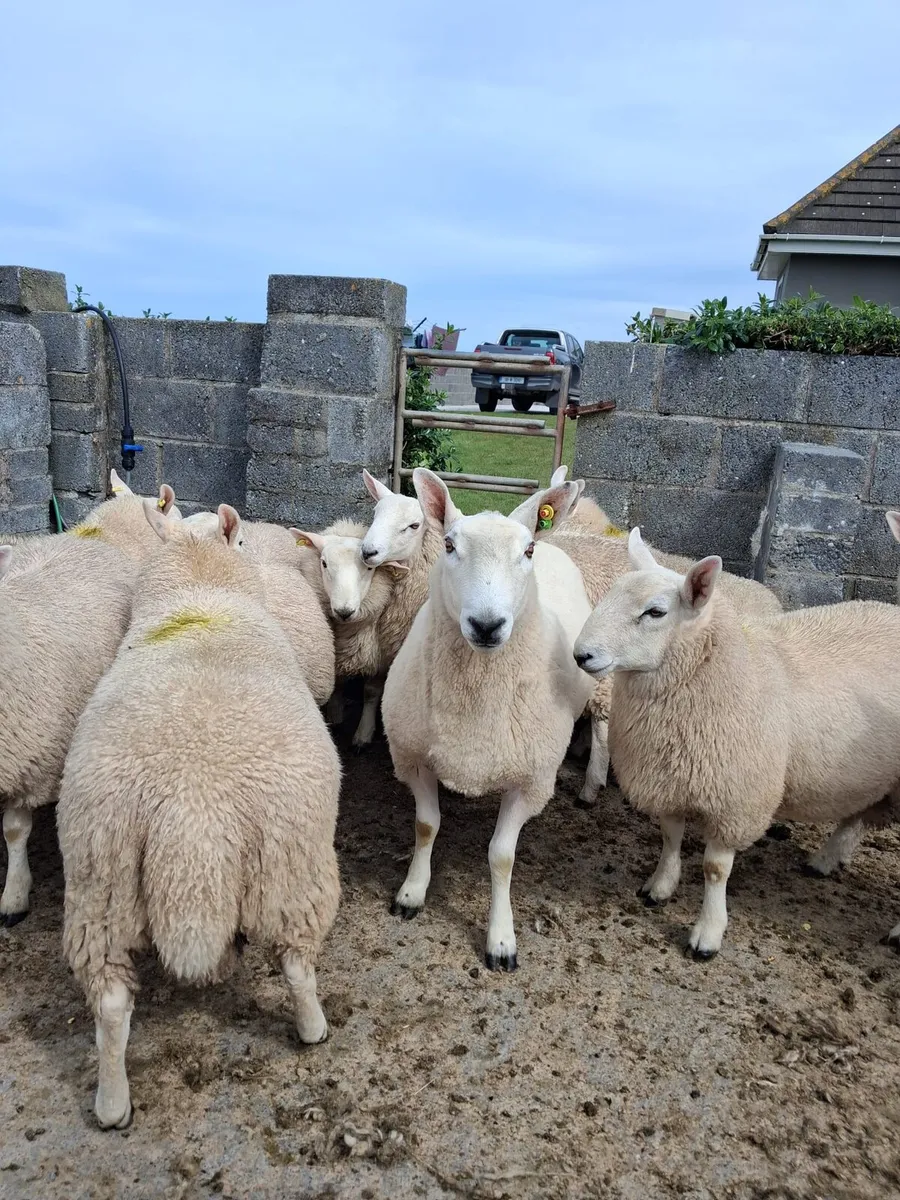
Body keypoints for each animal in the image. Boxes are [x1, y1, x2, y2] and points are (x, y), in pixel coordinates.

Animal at [58, 502, 341, 1129]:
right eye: (241, 543)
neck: (202, 600)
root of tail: (193, 820)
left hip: (99, 883)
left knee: (109, 1002)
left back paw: (112, 1104)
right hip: (295, 867)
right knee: (296, 964)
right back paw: (313, 1029)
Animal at [382, 469, 595, 970]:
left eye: (527, 552)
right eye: (449, 545)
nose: (486, 625)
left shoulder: (531, 781)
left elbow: (501, 857)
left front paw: (501, 938)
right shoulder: (413, 757)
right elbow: (426, 826)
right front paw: (412, 892)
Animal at [573, 528, 900, 959]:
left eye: (656, 612)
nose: (581, 655)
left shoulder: (735, 799)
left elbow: (715, 869)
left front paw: (707, 934)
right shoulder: (670, 776)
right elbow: (669, 837)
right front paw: (659, 887)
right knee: (856, 815)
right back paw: (825, 860)